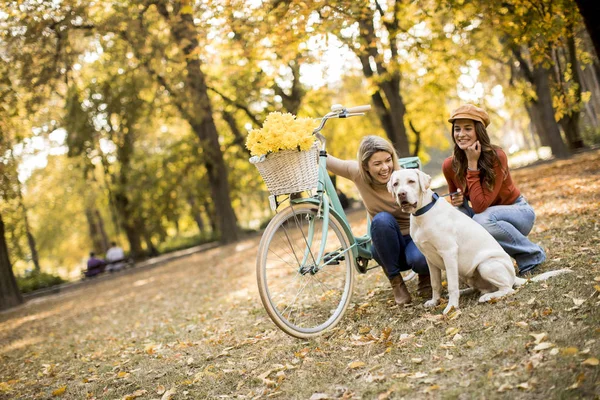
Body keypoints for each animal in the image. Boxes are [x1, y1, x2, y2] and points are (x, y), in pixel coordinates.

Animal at [386, 167, 568, 314]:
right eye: (395, 184)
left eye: (411, 181)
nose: (402, 194)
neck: (422, 213)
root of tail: (513, 276)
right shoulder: (429, 259)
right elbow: (435, 283)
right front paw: (434, 301)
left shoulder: (448, 253)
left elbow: (451, 285)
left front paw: (451, 307)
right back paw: (469, 292)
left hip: (486, 265)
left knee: (508, 288)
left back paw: (487, 297)